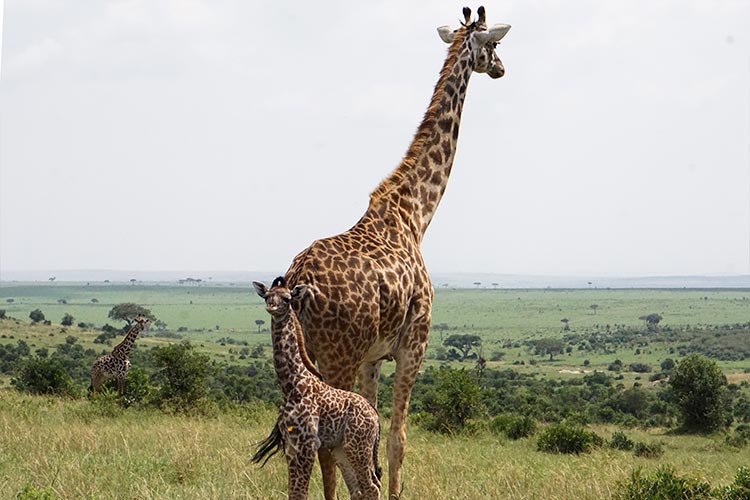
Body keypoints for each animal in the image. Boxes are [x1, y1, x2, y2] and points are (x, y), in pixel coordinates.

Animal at [253, 278, 382, 500]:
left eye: (287, 298)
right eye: (267, 295)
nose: (271, 307)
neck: (291, 384)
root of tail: (375, 416)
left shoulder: (307, 443)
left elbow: (300, 492)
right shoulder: (291, 445)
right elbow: (293, 491)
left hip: (358, 446)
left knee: (371, 487)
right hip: (341, 448)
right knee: (358, 489)